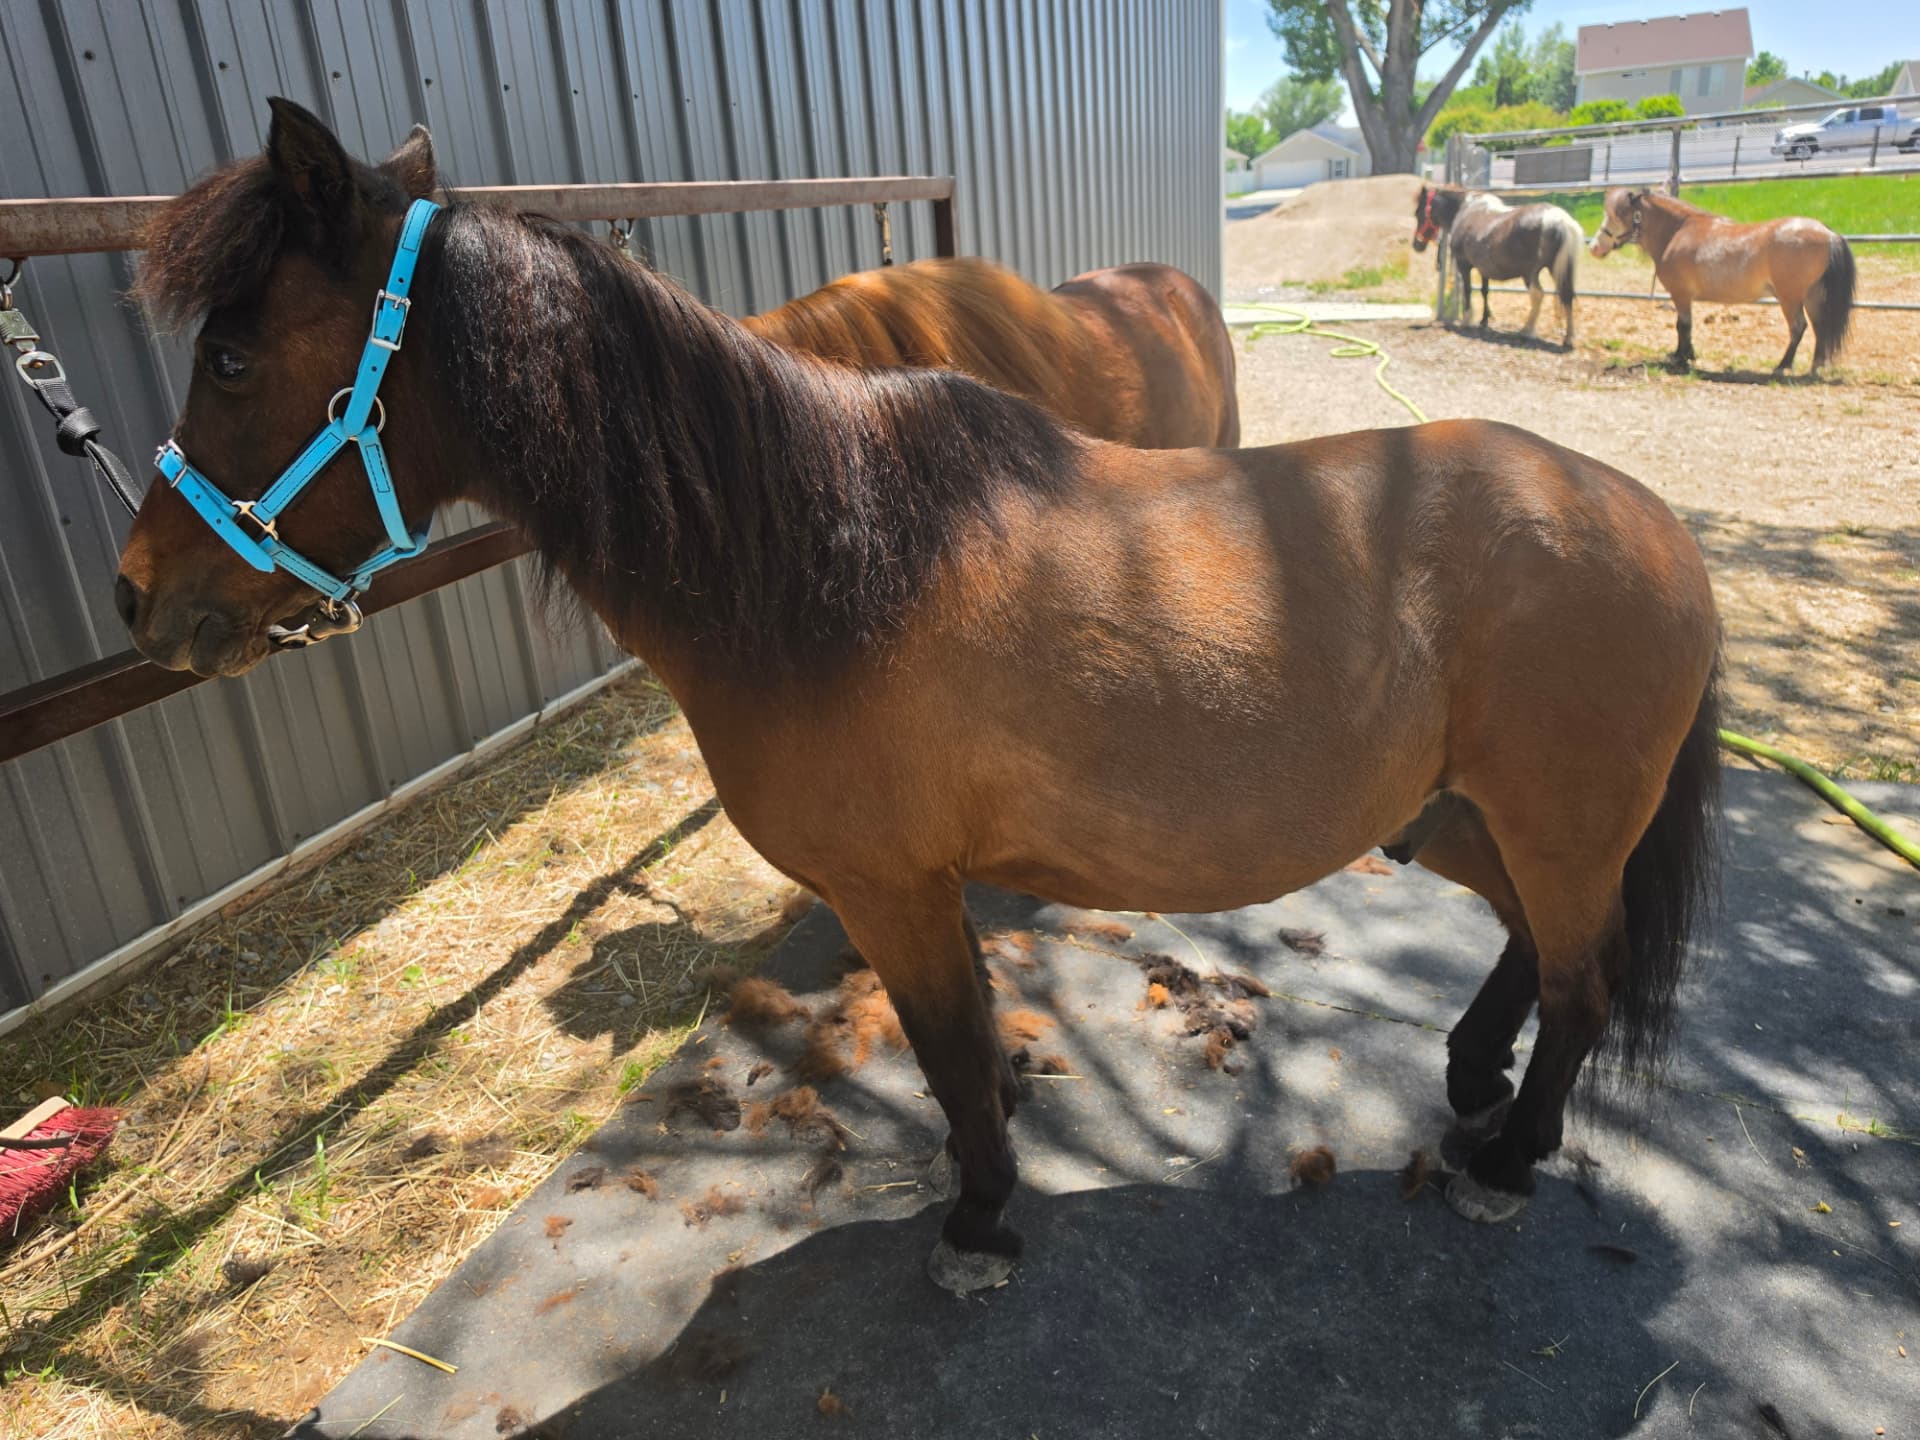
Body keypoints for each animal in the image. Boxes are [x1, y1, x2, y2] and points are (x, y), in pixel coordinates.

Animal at [1413, 185, 1583, 348]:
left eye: (1418, 212)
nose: (1417, 245)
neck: (1465, 209)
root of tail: (1559, 220)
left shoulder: (1464, 264)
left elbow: (1468, 289)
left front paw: (1466, 319)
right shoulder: (1484, 269)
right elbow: (1484, 291)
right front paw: (1484, 320)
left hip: (1530, 273)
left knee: (1538, 295)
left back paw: (1527, 331)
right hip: (1557, 269)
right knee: (1567, 296)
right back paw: (1568, 338)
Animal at [1589, 188, 1855, 374]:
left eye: (1616, 215)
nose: (1594, 247)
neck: (1678, 232)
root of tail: (1828, 233)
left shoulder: (1681, 294)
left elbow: (1683, 325)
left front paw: (1682, 358)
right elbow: (1683, 325)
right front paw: (1682, 355)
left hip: (1790, 298)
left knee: (1798, 328)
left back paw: (1782, 366)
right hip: (1812, 296)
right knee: (1820, 329)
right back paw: (1815, 367)